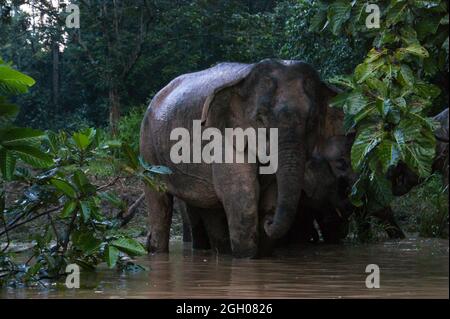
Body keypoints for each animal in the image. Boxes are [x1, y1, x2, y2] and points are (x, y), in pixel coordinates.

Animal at [139, 58, 336, 258]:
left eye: (312, 121)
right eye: (261, 118)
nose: (269, 221)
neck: (246, 77)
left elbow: (271, 192)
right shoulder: (221, 137)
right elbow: (242, 194)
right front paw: (247, 258)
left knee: (210, 209)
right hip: (148, 148)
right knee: (158, 199)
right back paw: (156, 251)